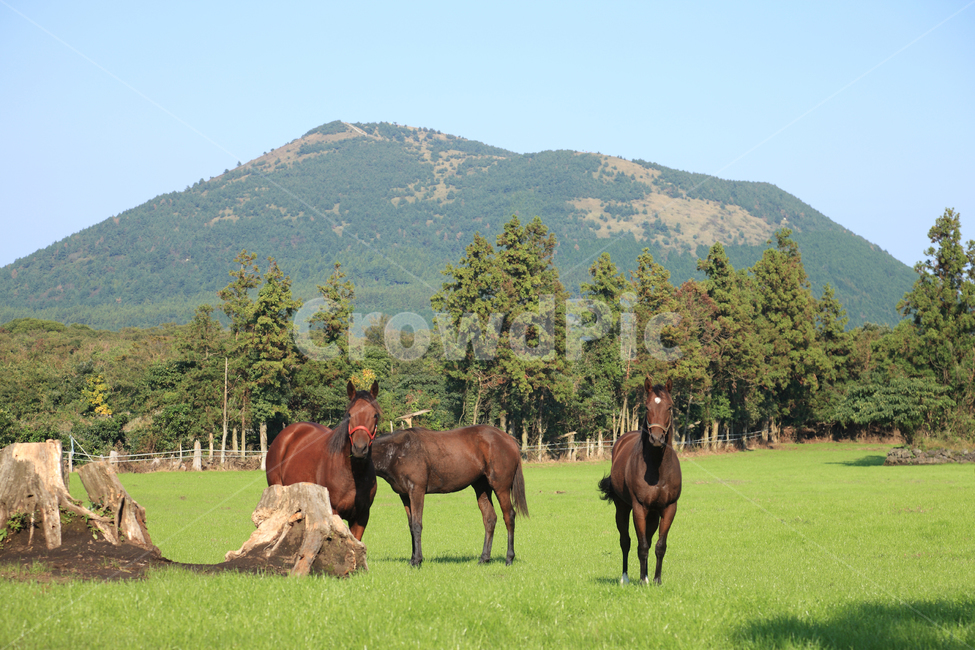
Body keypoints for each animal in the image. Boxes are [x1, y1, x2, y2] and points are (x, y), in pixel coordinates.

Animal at [265, 380, 380, 541]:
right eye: (350, 415)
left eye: (375, 415)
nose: (359, 448)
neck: (353, 475)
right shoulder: (334, 512)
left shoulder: (361, 516)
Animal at [372, 425, 529, 567]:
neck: (399, 451)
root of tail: (508, 439)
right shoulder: (404, 495)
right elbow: (411, 526)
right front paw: (412, 560)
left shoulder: (417, 491)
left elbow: (417, 525)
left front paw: (417, 561)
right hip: (482, 488)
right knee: (490, 519)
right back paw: (484, 559)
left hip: (501, 487)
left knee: (509, 516)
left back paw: (509, 558)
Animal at [598, 377, 682, 585]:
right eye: (647, 406)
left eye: (669, 406)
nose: (657, 438)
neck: (657, 470)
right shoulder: (639, 508)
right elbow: (641, 545)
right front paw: (643, 580)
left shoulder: (669, 508)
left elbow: (659, 545)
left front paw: (656, 580)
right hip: (622, 508)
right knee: (625, 541)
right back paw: (626, 578)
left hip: (653, 514)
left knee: (649, 541)